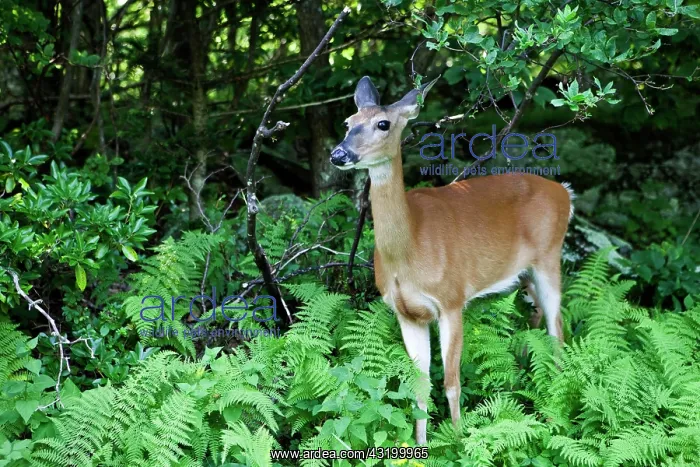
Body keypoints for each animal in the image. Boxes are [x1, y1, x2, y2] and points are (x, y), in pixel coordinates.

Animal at [329, 76, 574, 445]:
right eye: (348, 123)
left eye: (383, 124)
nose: (339, 153)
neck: (409, 251)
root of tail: (564, 192)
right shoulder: (406, 313)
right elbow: (419, 385)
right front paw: (421, 444)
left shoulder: (452, 299)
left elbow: (451, 382)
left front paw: (459, 441)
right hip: (522, 275)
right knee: (537, 319)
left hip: (549, 256)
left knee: (557, 327)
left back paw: (553, 404)